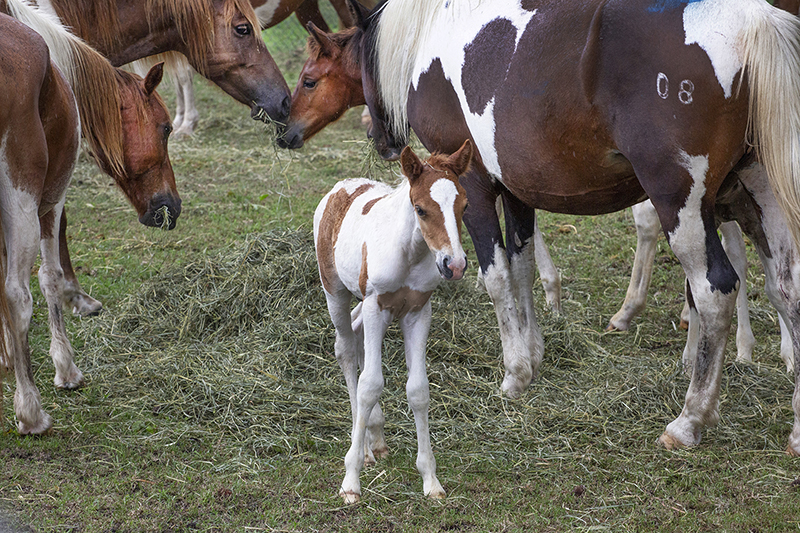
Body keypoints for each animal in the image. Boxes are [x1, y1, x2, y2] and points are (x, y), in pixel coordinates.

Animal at [282, 1, 800, 458]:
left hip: (682, 204)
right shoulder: (515, 191)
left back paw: (690, 419)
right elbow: (522, 267)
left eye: (309, 79)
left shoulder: (473, 185)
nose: (284, 130)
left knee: (716, 292)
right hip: (760, 194)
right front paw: (533, 352)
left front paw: (515, 372)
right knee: (786, 290)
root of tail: (756, 19)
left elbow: (495, 276)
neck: (426, 33)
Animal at [314, 139, 472, 500]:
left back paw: (376, 439)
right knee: (346, 348)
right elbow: (369, 385)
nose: (454, 265)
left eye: (464, 206)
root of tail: (341, 187)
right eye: (421, 209)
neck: (410, 252)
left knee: (357, 336)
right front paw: (351, 481)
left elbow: (418, 389)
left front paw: (431, 480)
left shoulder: (418, 311)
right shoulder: (376, 304)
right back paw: (364, 449)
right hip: (336, 293)